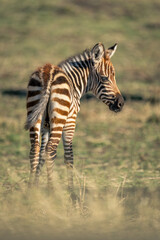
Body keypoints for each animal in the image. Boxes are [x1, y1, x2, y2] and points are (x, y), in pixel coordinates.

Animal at [25, 42, 124, 190]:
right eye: (105, 78)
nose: (121, 103)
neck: (74, 83)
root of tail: (49, 73)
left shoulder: (46, 127)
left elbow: (41, 154)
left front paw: (35, 187)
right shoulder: (70, 121)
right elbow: (69, 156)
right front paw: (71, 190)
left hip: (34, 114)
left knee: (35, 149)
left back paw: (31, 189)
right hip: (59, 119)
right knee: (51, 150)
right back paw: (51, 189)